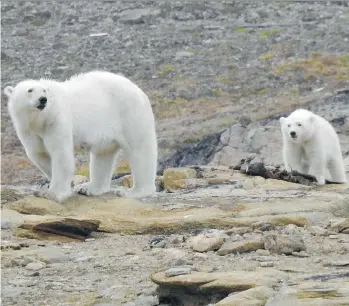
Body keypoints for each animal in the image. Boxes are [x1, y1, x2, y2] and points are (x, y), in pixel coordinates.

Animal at [3, 70, 156, 202]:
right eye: (30, 90)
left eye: (44, 90)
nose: (42, 100)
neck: (40, 119)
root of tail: (138, 90)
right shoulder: (28, 130)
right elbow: (39, 153)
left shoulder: (56, 120)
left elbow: (60, 154)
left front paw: (53, 193)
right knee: (102, 156)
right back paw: (89, 188)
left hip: (129, 114)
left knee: (139, 150)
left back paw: (134, 191)